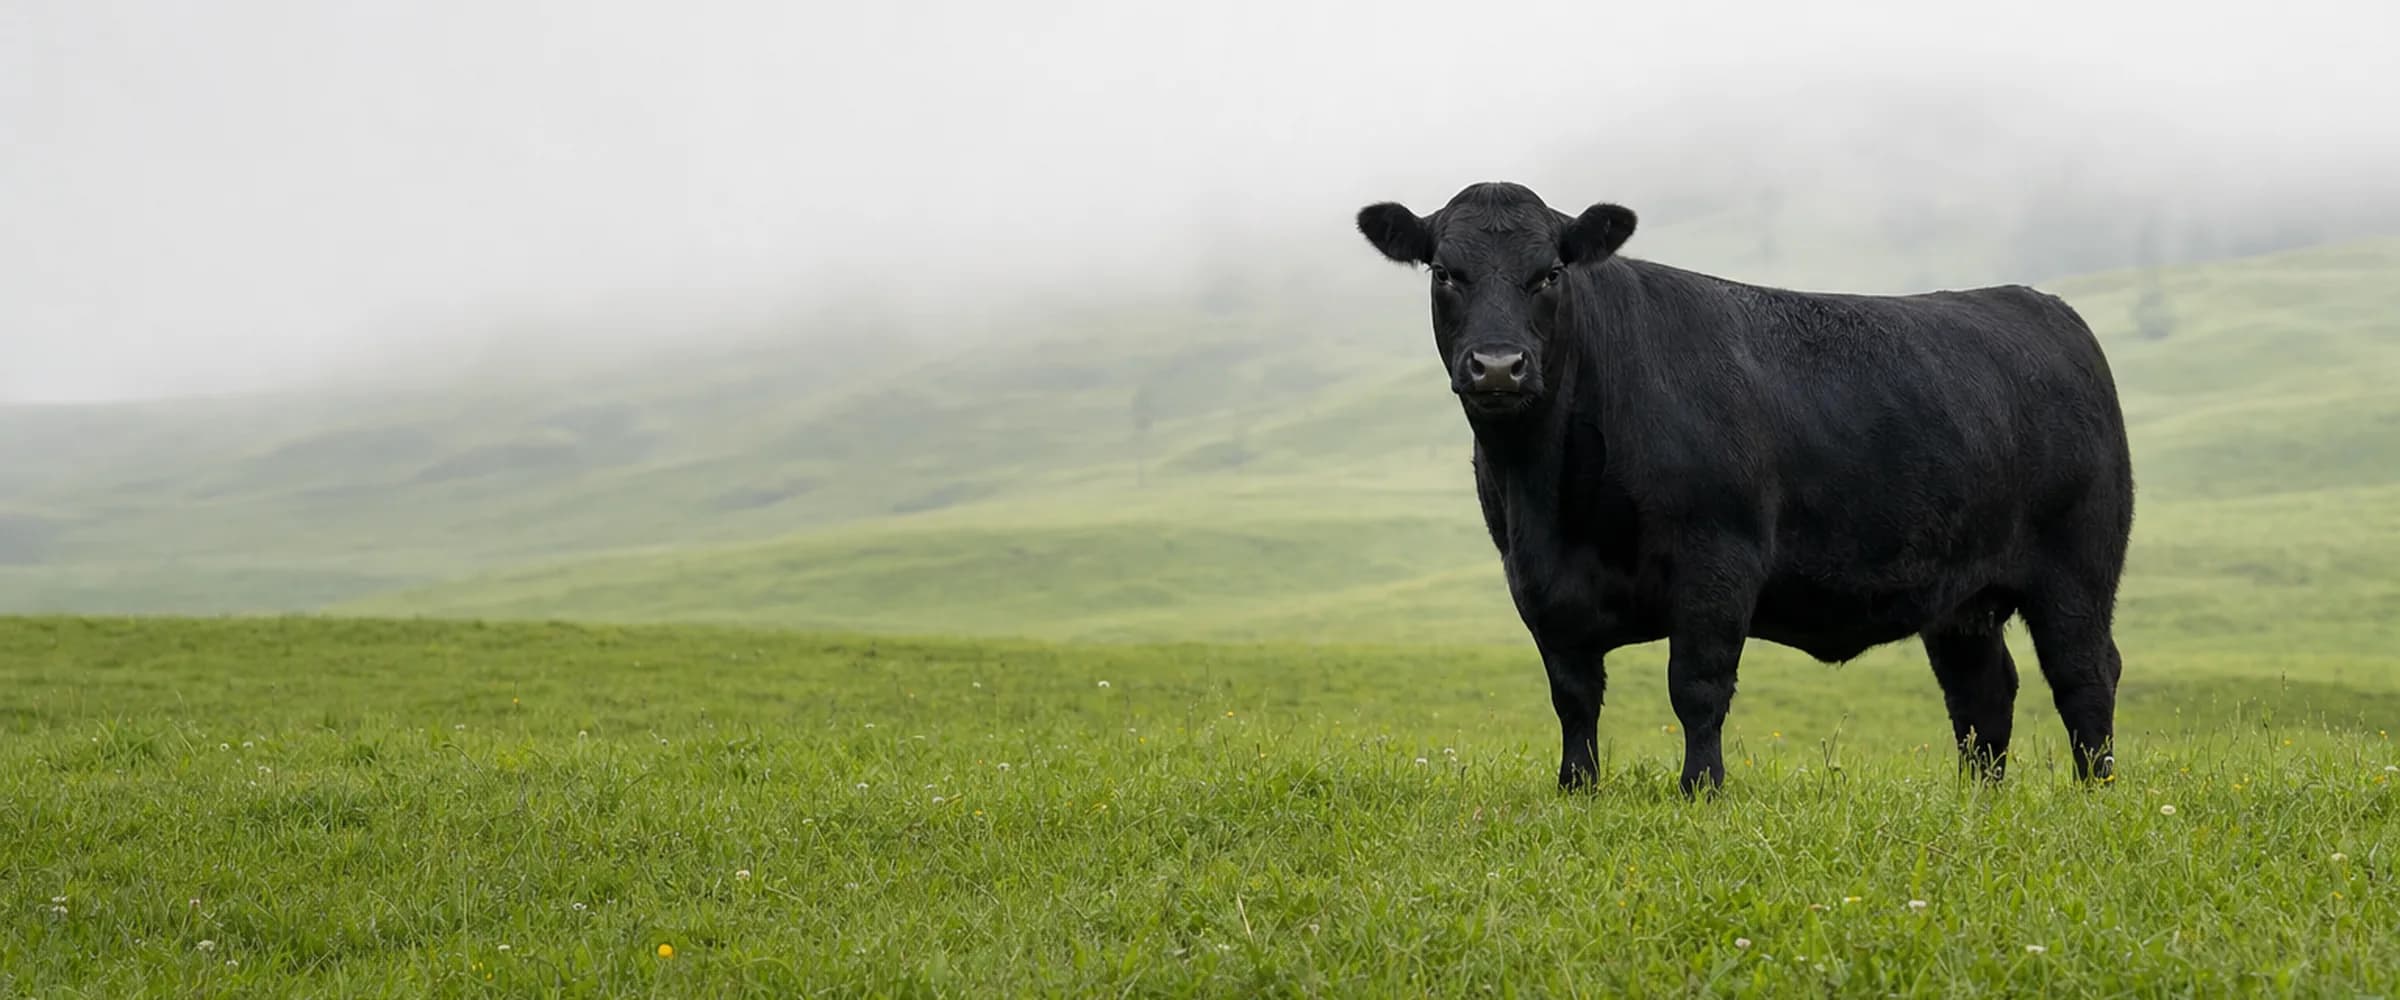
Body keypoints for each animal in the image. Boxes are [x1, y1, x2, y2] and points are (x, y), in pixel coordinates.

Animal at [1354, 181, 2134, 797]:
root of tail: (2041, 306)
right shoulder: (1536, 583)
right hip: (1961, 596)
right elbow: (1574, 696)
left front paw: (1701, 788)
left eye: (1548, 274)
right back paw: (1980, 796)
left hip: (2078, 569)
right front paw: (1577, 787)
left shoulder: (1718, 560)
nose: (1496, 366)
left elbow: (1697, 684)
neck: (1550, 497)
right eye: (1444, 273)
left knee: (2085, 672)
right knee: (1983, 691)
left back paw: (2095, 790)